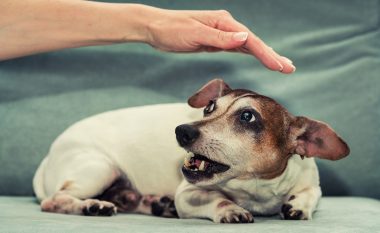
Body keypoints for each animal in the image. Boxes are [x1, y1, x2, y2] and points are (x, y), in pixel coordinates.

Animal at [34, 79, 348, 223]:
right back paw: (92, 205)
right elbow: (218, 200)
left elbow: (310, 195)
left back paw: (154, 203)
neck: (255, 189)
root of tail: (47, 158)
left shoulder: (310, 183)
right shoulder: (188, 194)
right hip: (99, 168)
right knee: (54, 200)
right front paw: (230, 209)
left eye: (247, 117)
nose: (182, 130)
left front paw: (298, 206)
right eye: (209, 107)